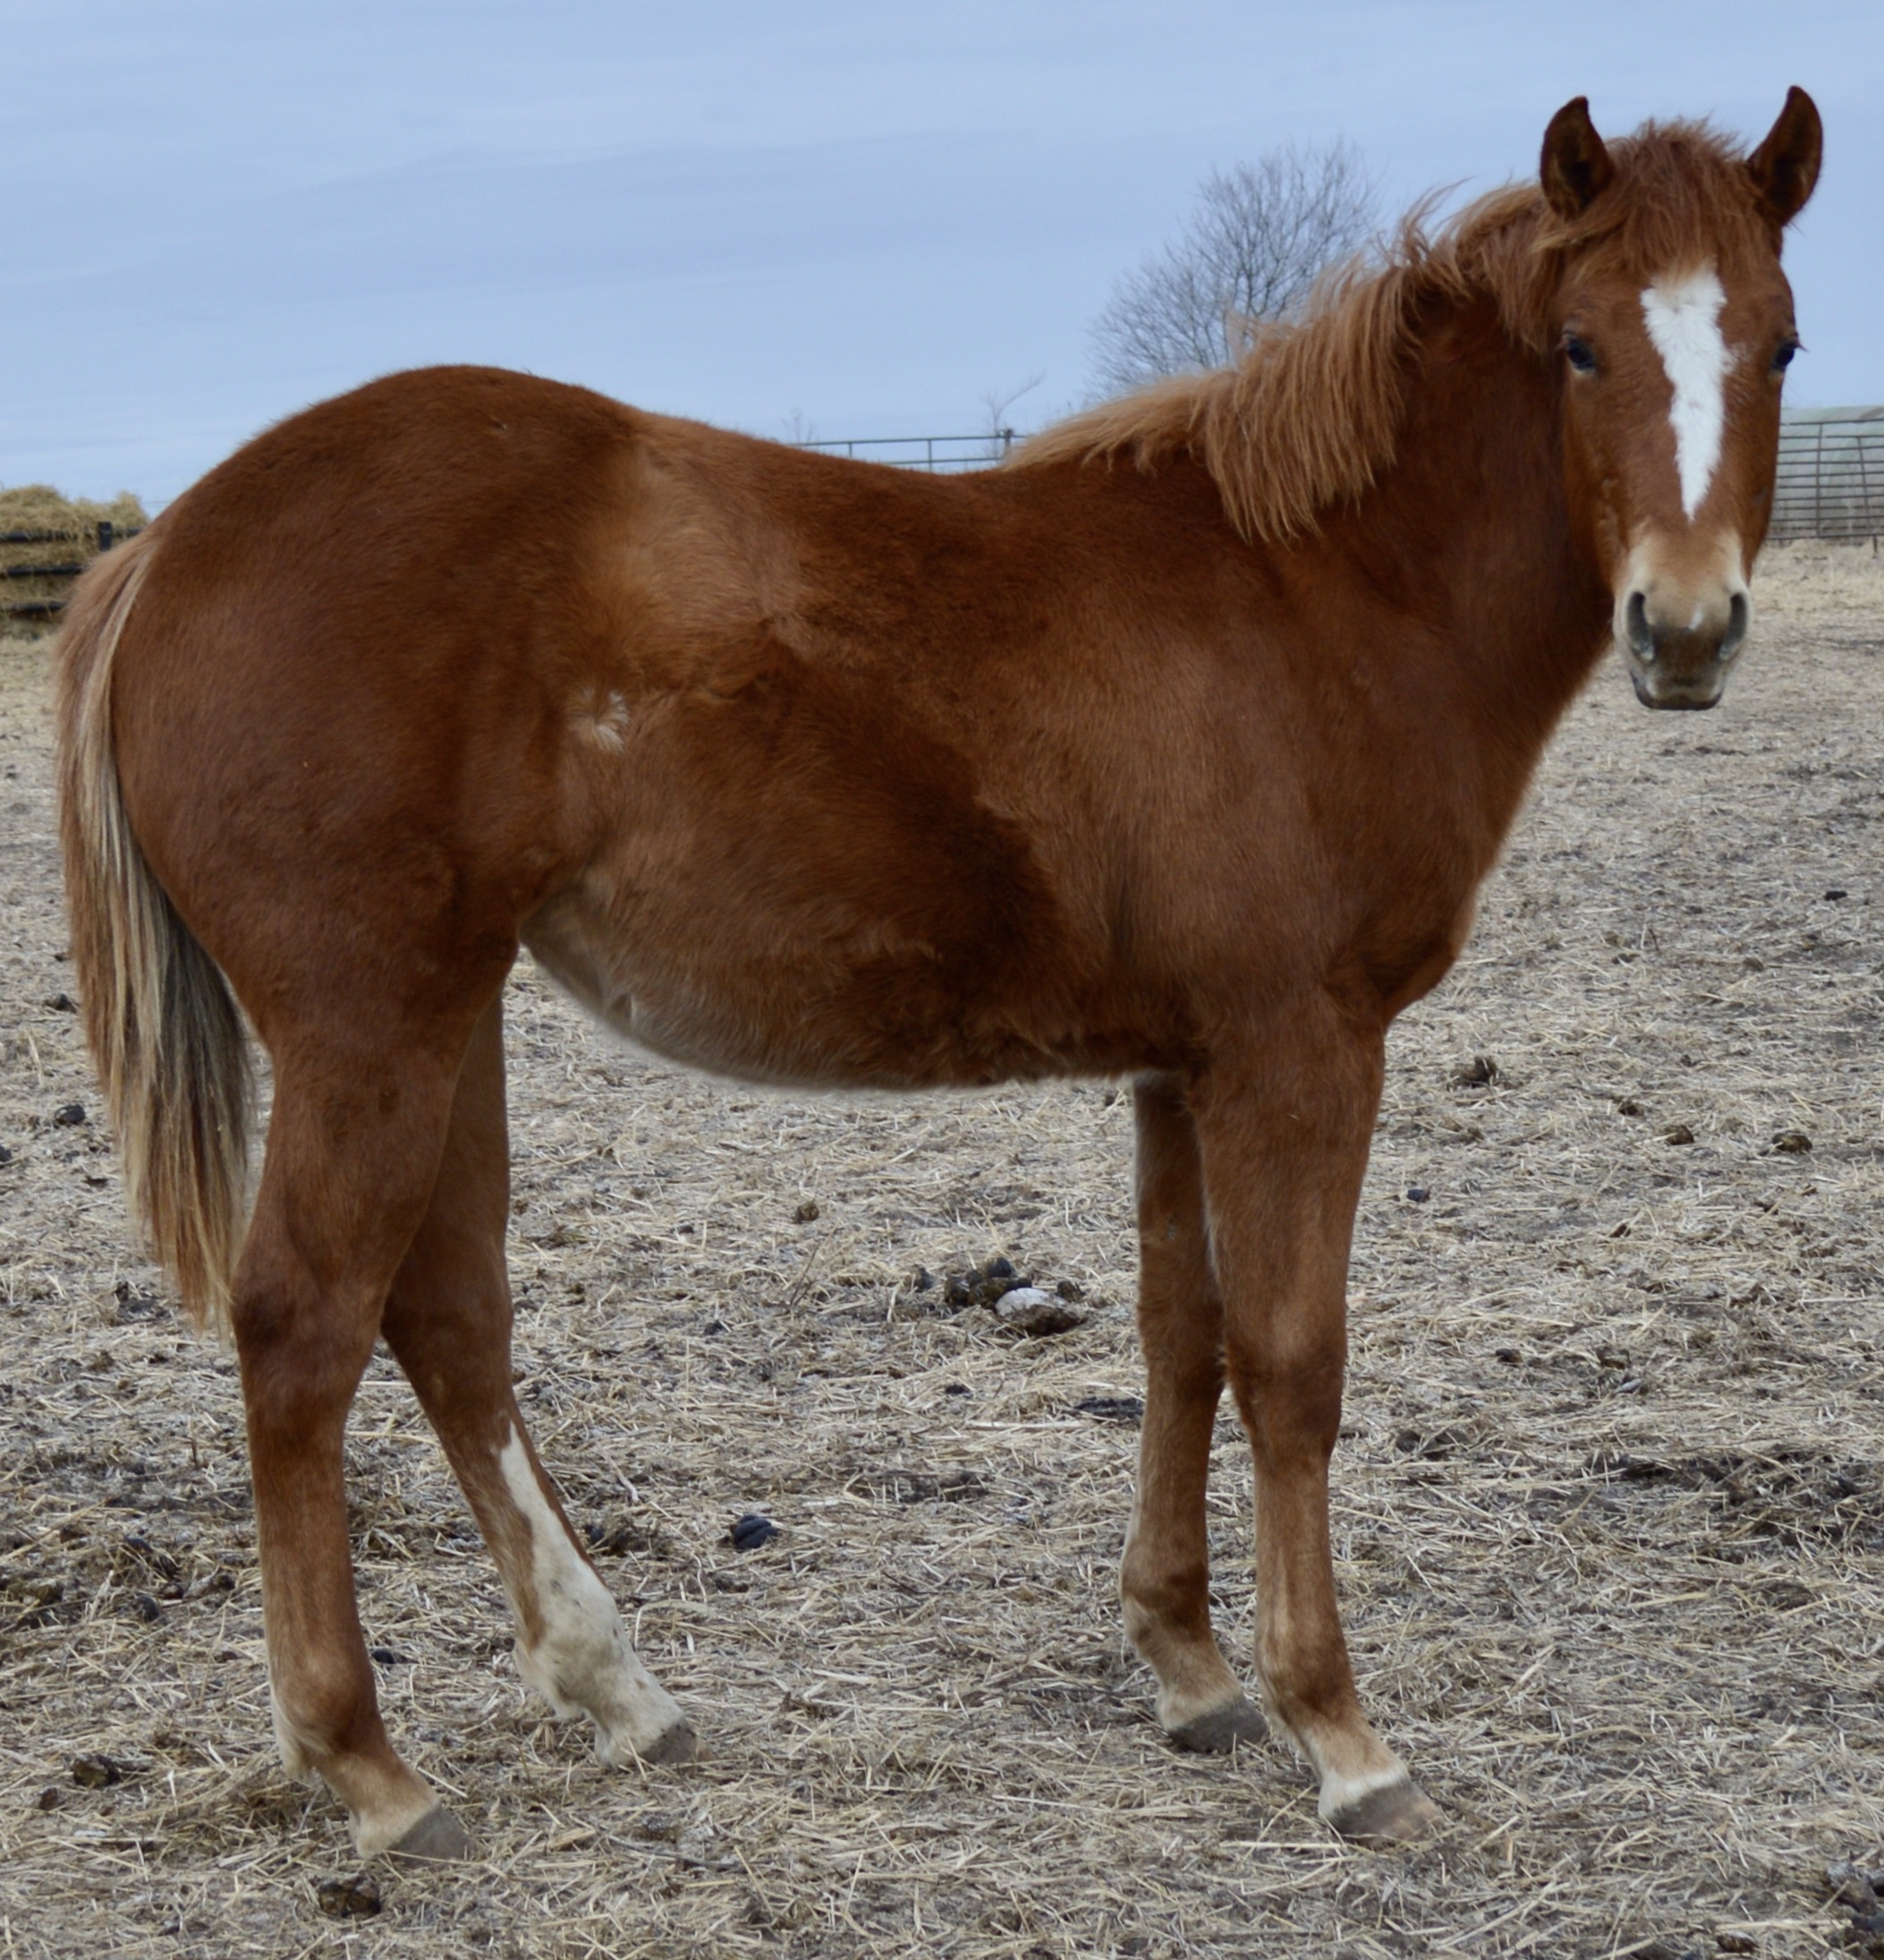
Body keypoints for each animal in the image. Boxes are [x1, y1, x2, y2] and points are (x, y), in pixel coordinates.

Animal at [56, 90, 1821, 1859]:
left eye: (1782, 341)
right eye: (1581, 347)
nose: (1683, 631)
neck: (1314, 592)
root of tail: (171, 546)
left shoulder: (1182, 1060)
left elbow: (1181, 1330)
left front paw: (1187, 1666)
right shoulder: (1299, 1048)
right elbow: (1291, 1361)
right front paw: (1337, 1729)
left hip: (450, 1009)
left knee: (448, 1314)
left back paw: (616, 1688)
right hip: (371, 1021)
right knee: (304, 1327)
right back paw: (367, 1762)